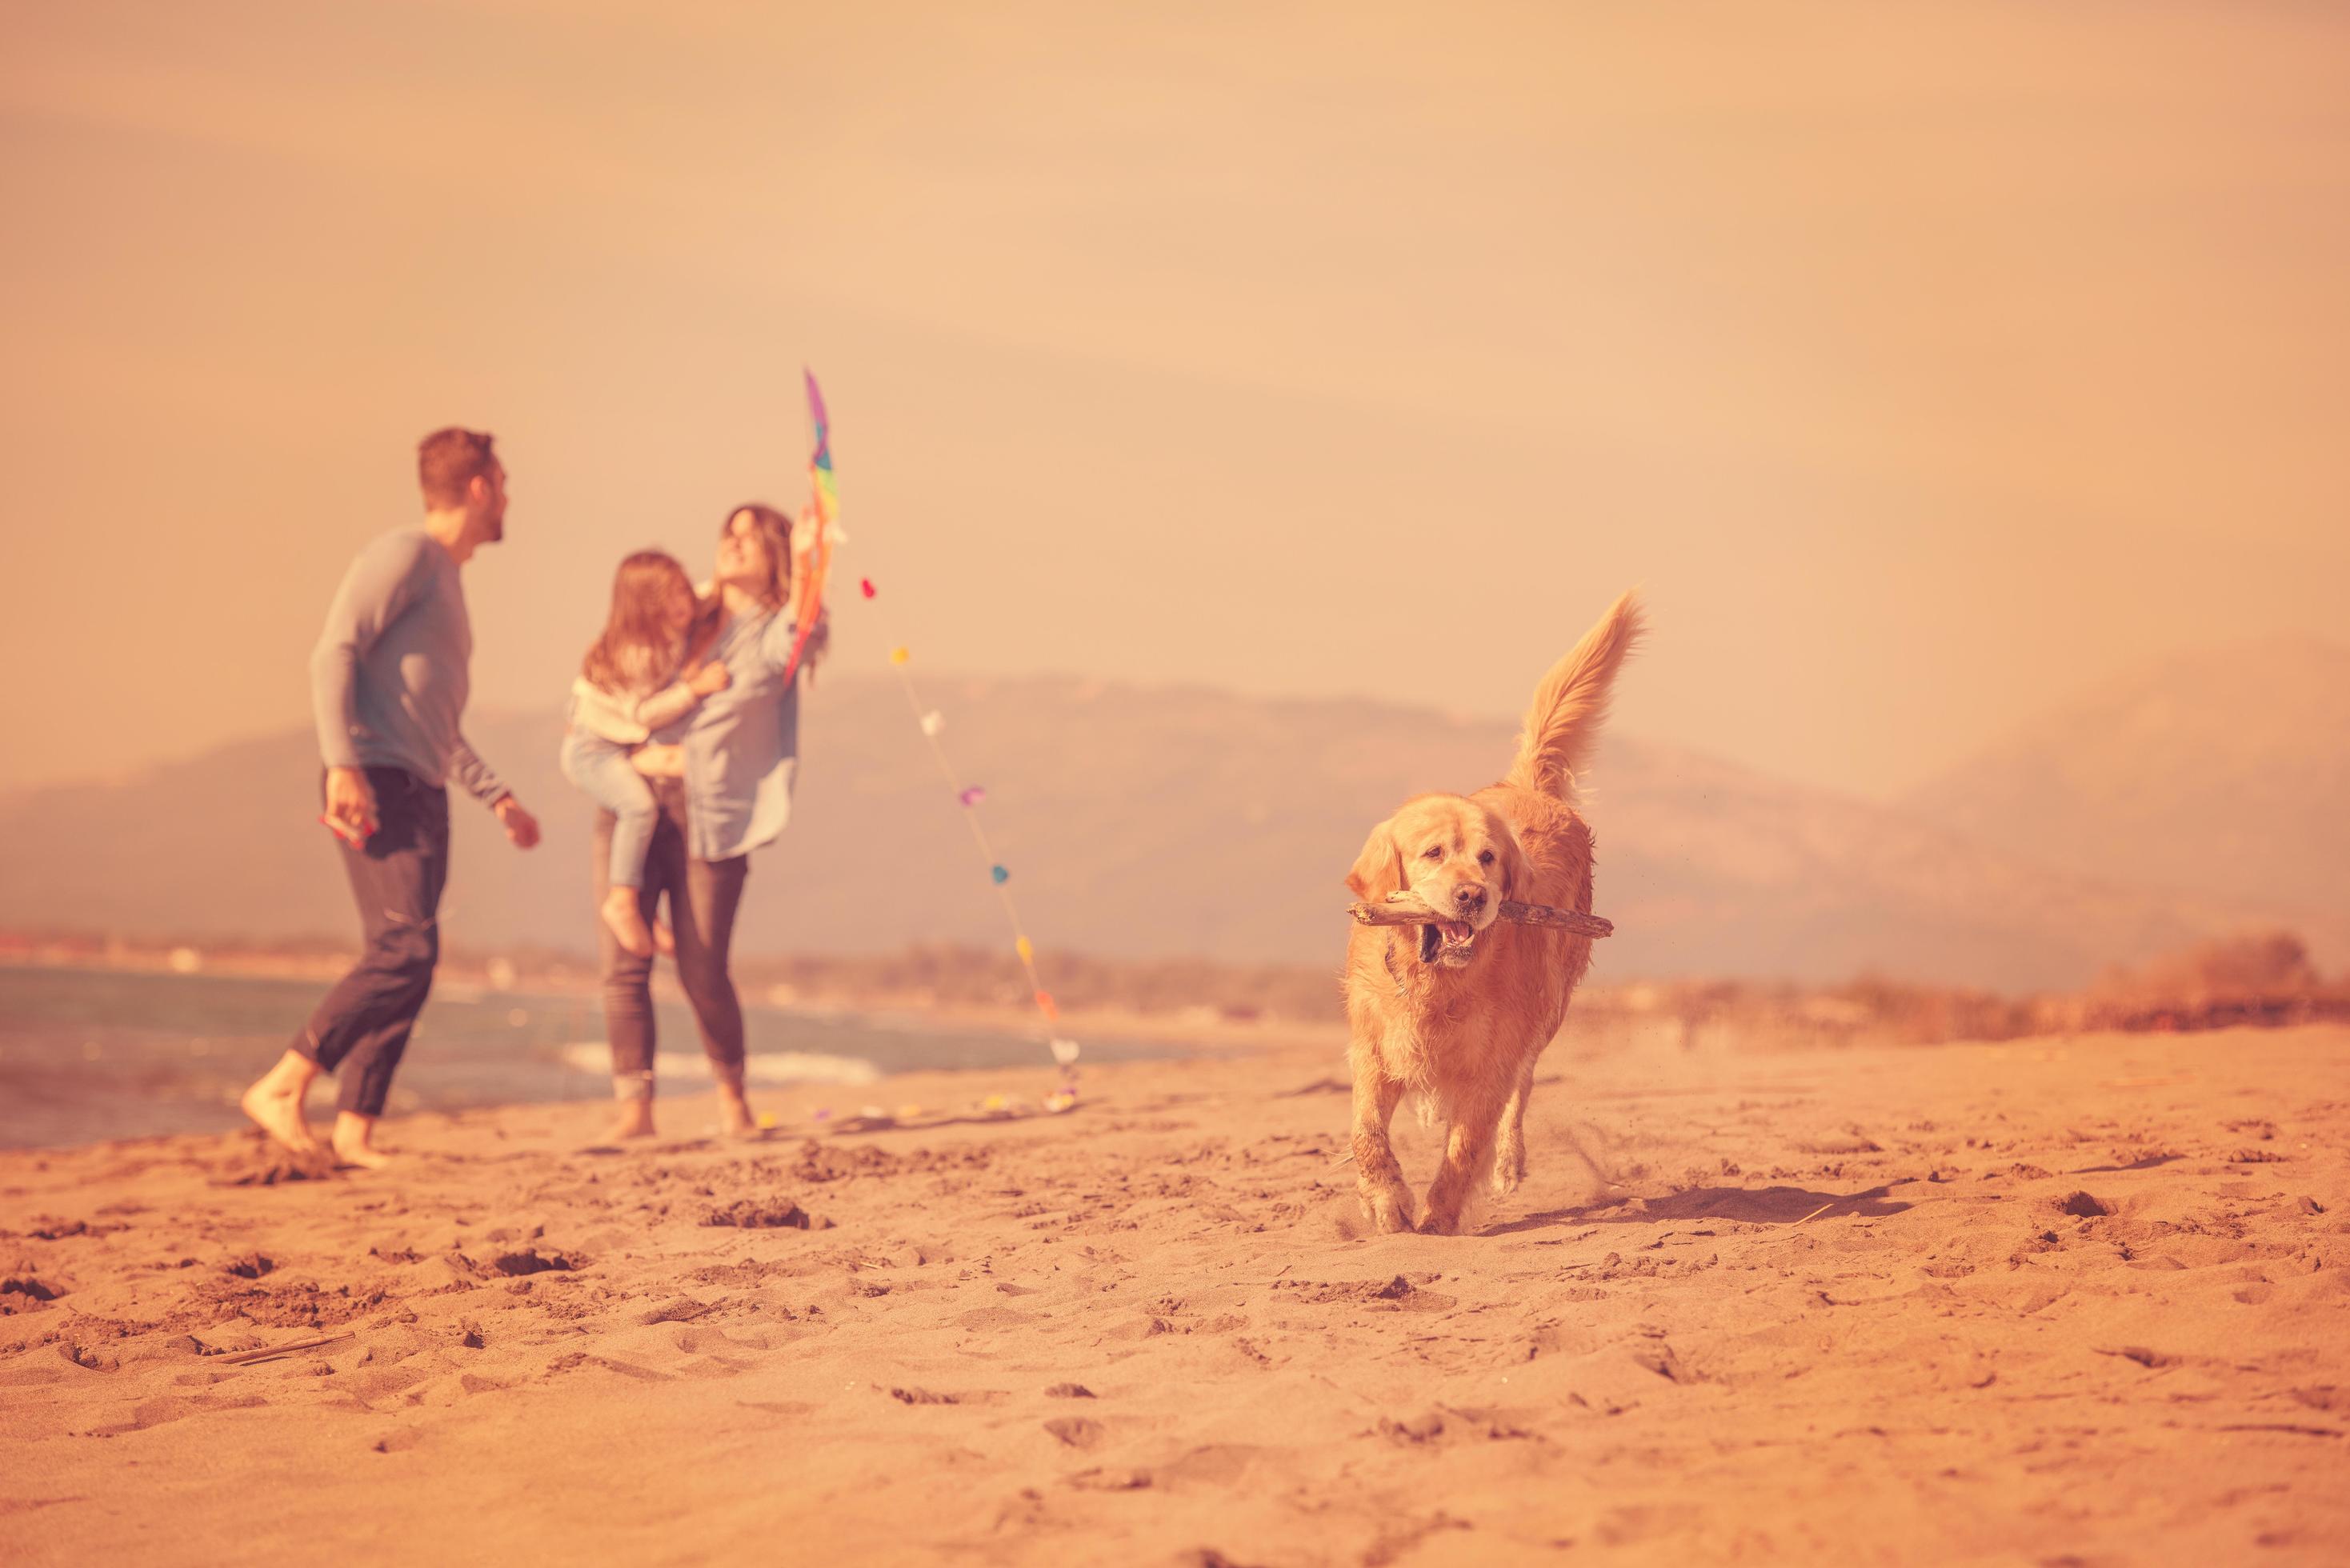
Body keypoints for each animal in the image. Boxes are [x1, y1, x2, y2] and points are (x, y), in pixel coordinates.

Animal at [1353, 592, 1644, 1241]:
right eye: (1433, 853)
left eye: (1488, 858)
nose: (1472, 897)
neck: (1438, 983)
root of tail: (1531, 786)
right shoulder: (1373, 1051)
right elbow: (1367, 1134)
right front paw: (1386, 1203)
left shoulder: (1490, 1062)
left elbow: (1466, 1144)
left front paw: (1438, 1216)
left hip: (1548, 1009)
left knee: (1523, 1089)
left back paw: (1509, 1163)